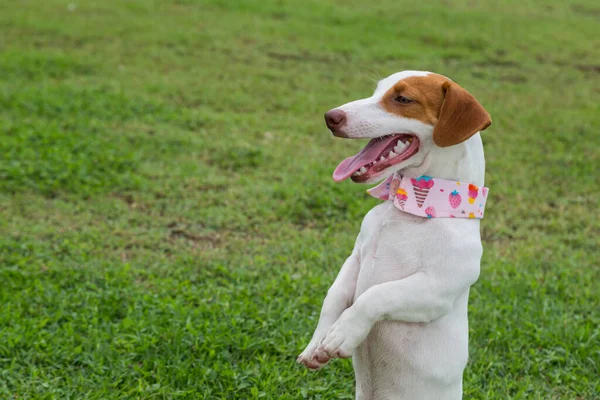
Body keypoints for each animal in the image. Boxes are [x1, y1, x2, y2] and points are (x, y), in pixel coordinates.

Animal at [296, 70, 492, 398]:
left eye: (402, 99)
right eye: (376, 91)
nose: (330, 116)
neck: (410, 208)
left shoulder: (435, 288)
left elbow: (375, 295)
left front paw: (343, 333)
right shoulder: (355, 259)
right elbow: (333, 297)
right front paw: (317, 342)